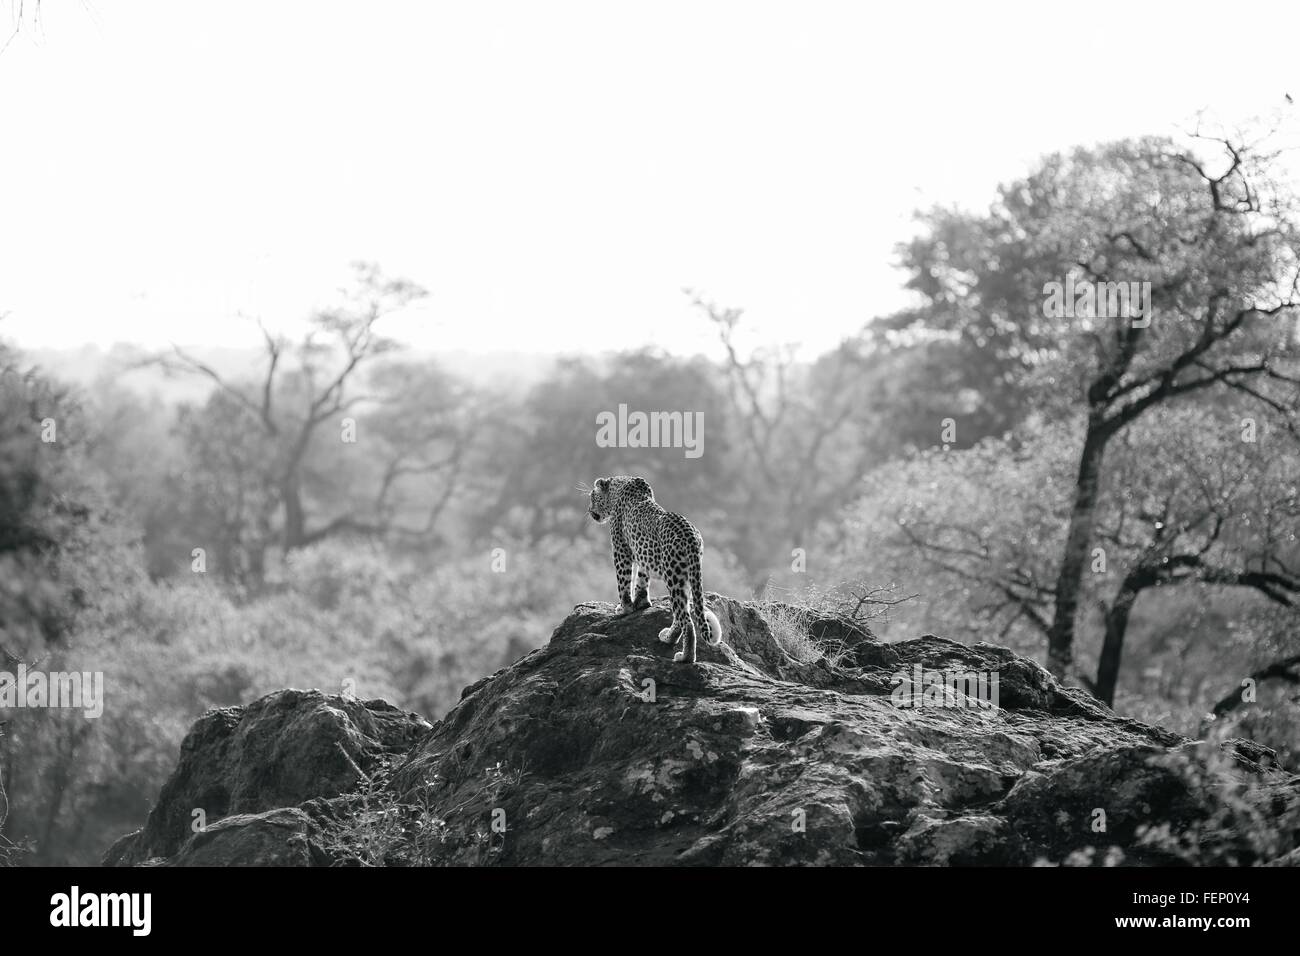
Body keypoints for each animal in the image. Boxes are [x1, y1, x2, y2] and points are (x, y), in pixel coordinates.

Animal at [587, 473, 722, 665]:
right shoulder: (643, 556)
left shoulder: (621, 549)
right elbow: (642, 579)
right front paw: (641, 603)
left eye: (592, 496)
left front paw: (624, 608)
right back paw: (668, 637)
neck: (618, 488)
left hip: (673, 576)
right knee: (681, 615)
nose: (589, 511)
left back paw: (685, 657)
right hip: (687, 577)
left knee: (686, 620)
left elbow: (623, 581)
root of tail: (691, 537)